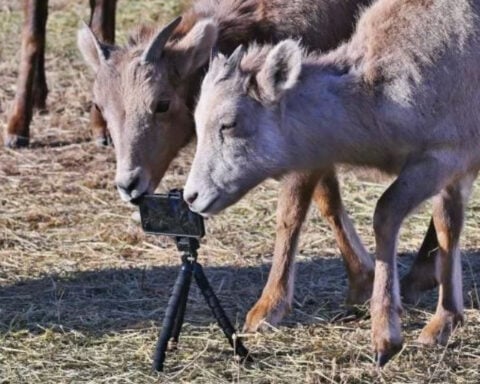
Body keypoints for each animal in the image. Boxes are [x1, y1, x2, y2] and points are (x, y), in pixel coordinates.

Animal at [78, 0, 438, 332]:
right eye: (101, 107)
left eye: (162, 103)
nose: (129, 184)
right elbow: (329, 202)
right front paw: (360, 282)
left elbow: (290, 216)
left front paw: (267, 309)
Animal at [185, 0, 480, 366]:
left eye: (229, 123)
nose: (192, 196)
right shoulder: (452, 172)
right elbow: (448, 228)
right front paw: (443, 324)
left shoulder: (442, 159)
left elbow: (387, 214)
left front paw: (386, 339)